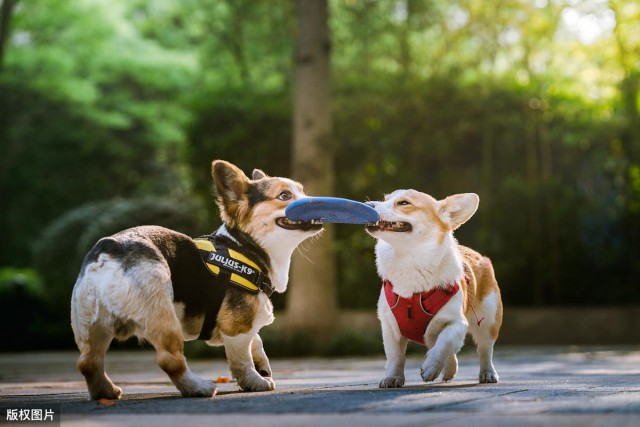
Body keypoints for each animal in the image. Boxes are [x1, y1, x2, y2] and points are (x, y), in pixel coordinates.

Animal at [70, 160, 322, 402]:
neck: (245, 246)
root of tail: (111, 248)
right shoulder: (237, 330)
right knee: (169, 360)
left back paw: (106, 391)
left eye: (303, 191)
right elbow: (242, 359)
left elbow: (256, 340)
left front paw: (262, 364)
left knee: (88, 362)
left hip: (94, 325)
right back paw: (198, 387)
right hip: (163, 315)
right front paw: (255, 380)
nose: (317, 201)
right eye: (284, 196)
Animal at [368, 191, 502, 388]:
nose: (368, 205)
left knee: (485, 350)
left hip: (488, 321)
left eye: (404, 203)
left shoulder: (457, 323)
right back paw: (449, 370)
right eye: (385, 199)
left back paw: (488, 373)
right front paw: (393, 377)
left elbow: (445, 342)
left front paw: (431, 366)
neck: (410, 260)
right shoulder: (390, 328)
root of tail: (478, 255)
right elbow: (395, 357)